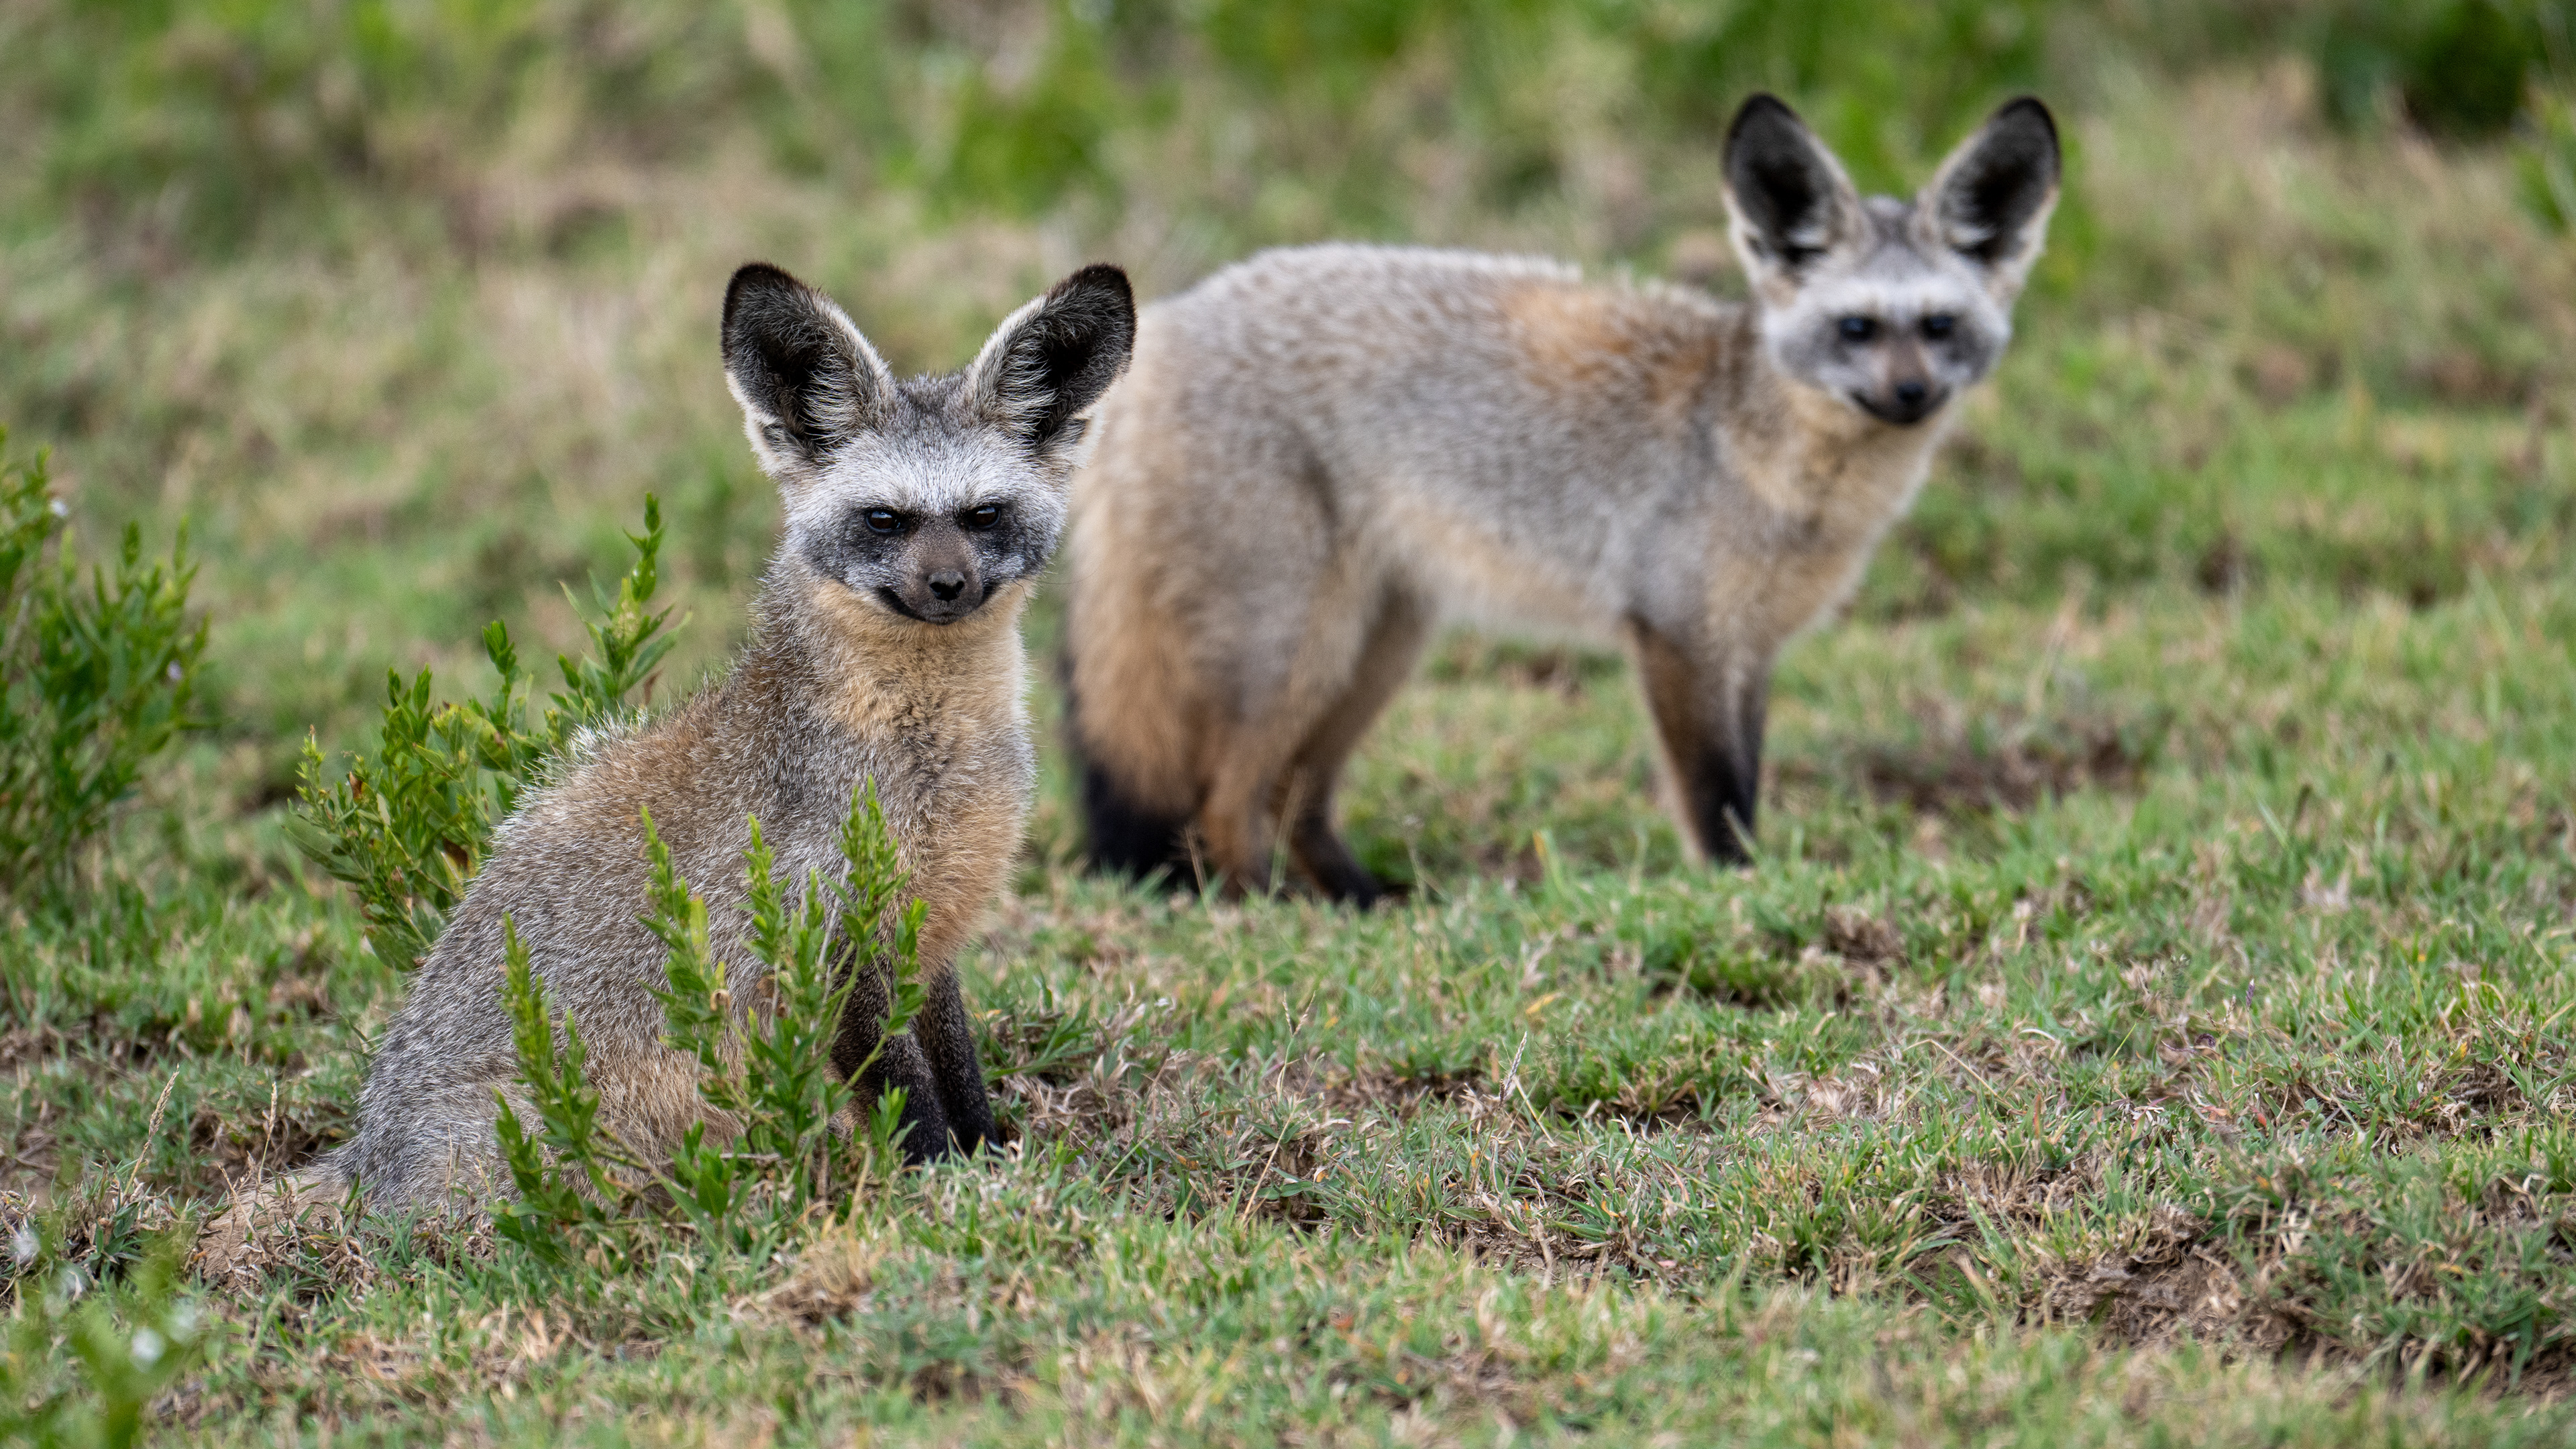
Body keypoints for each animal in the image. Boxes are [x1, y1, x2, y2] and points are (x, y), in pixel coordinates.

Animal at [301, 260, 1132, 1214]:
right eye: (885, 519)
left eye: (984, 514)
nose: (948, 586)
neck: (931, 758)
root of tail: (364, 1156)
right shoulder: (827, 935)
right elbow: (900, 1092)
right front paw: (938, 1182)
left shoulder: (928, 932)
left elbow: (957, 1067)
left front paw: (991, 1157)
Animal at [1062, 94, 2059, 904]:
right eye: (1857, 329)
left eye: (1939, 327)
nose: (1911, 395)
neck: (1757, 454)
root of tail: (1168, 324)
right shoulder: (1677, 638)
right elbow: (1716, 799)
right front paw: (1740, 893)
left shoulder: (1751, 650)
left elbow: (1747, 783)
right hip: (1297, 650)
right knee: (1226, 800)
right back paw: (1260, 911)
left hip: (1377, 647)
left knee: (1290, 795)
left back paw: (1359, 904)